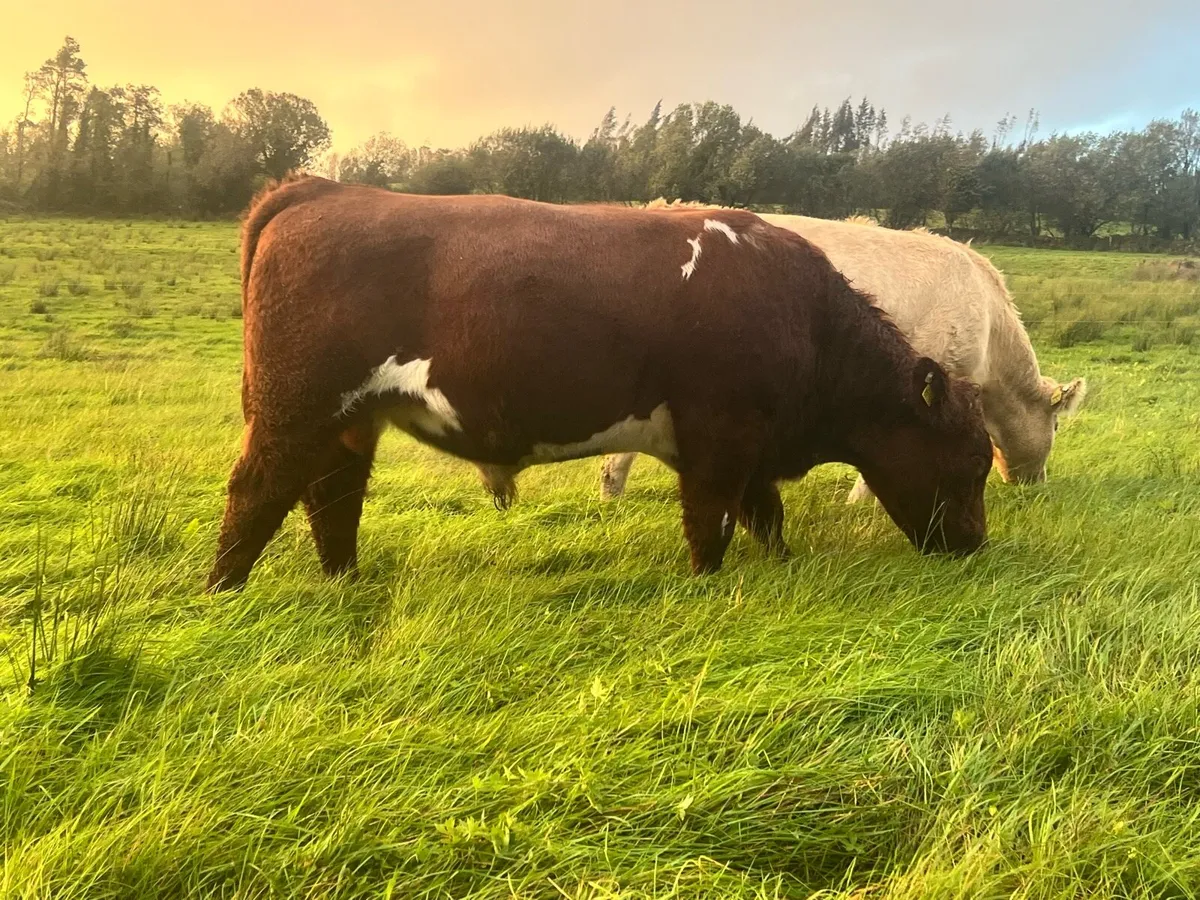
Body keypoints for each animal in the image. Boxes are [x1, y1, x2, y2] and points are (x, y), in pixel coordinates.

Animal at [206, 176, 992, 592]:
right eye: (968, 462)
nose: (976, 545)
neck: (805, 316)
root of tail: (325, 189)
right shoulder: (722, 434)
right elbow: (714, 518)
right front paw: (708, 581)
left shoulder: (751, 444)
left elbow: (765, 514)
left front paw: (781, 564)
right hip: (294, 409)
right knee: (257, 492)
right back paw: (226, 593)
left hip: (347, 419)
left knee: (331, 495)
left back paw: (343, 578)